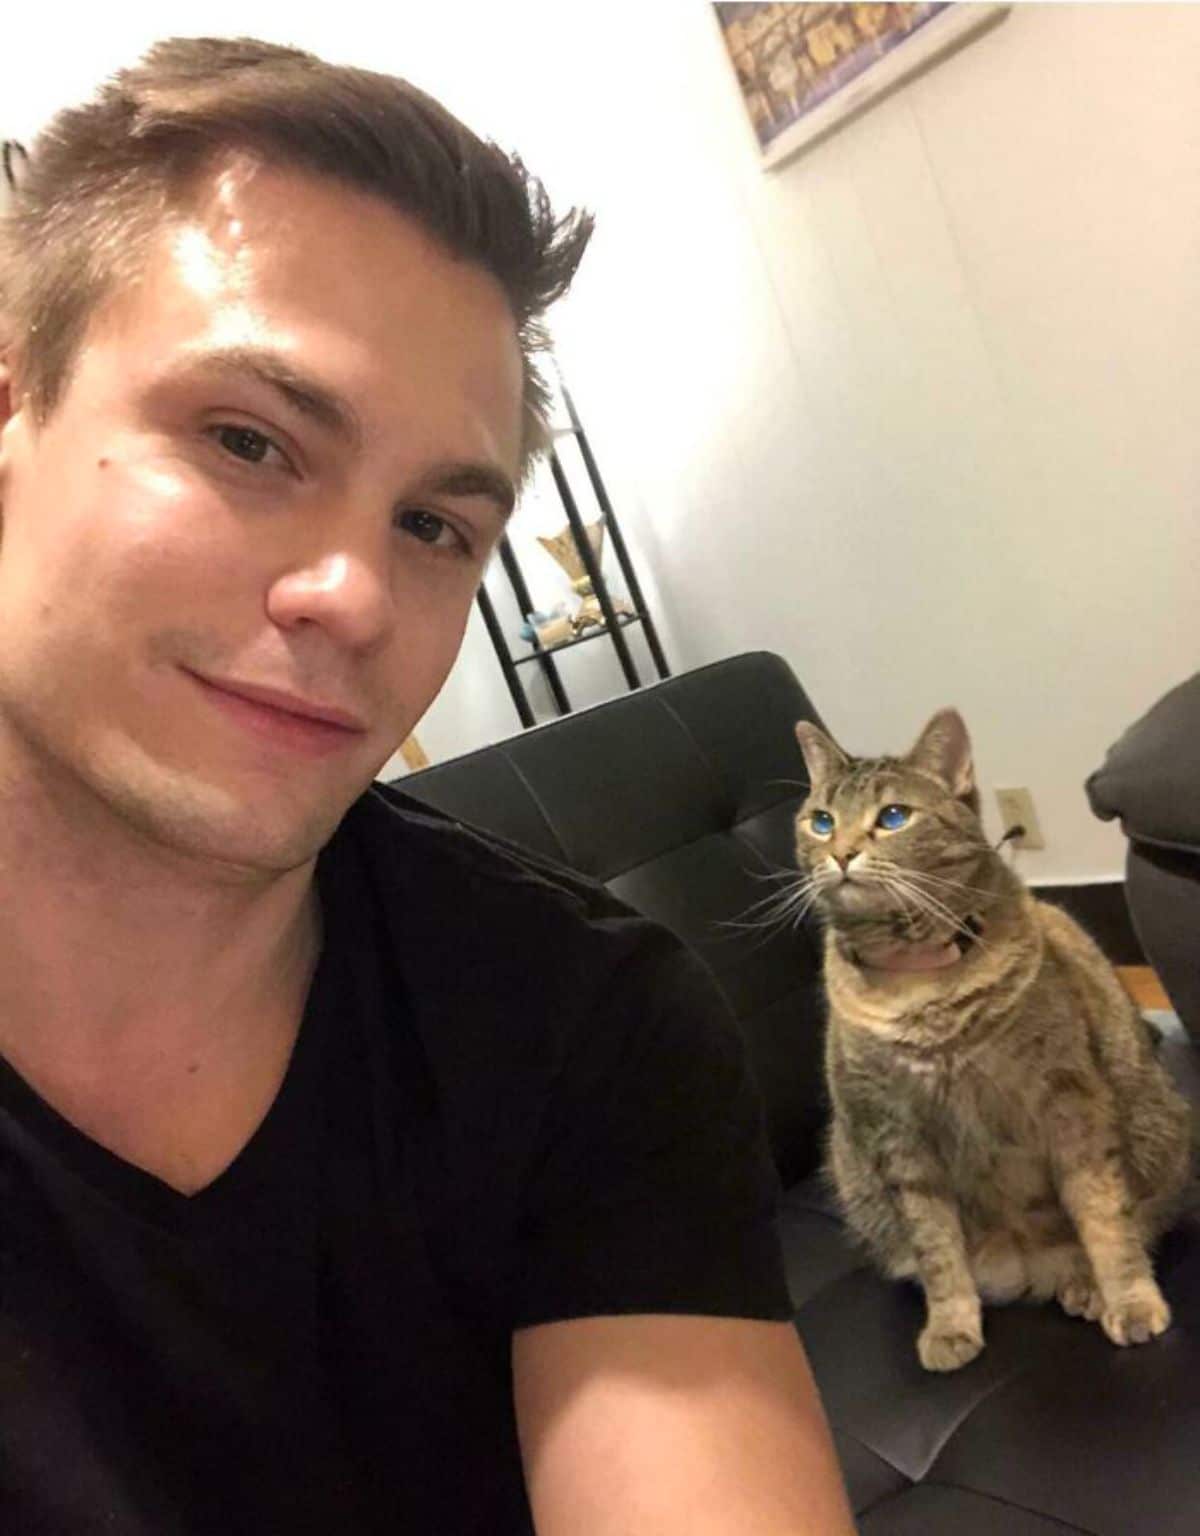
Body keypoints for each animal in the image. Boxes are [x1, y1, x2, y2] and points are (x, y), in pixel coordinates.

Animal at [792, 706, 1192, 1370]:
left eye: (893, 816)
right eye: (821, 821)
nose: (841, 854)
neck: (922, 986)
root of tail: (1027, 1270)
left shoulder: (1071, 1104)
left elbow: (1104, 1215)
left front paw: (1128, 1300)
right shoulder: (896, 1136)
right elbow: (936, 1248)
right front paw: (951, 1324)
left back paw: (1085, 1285)